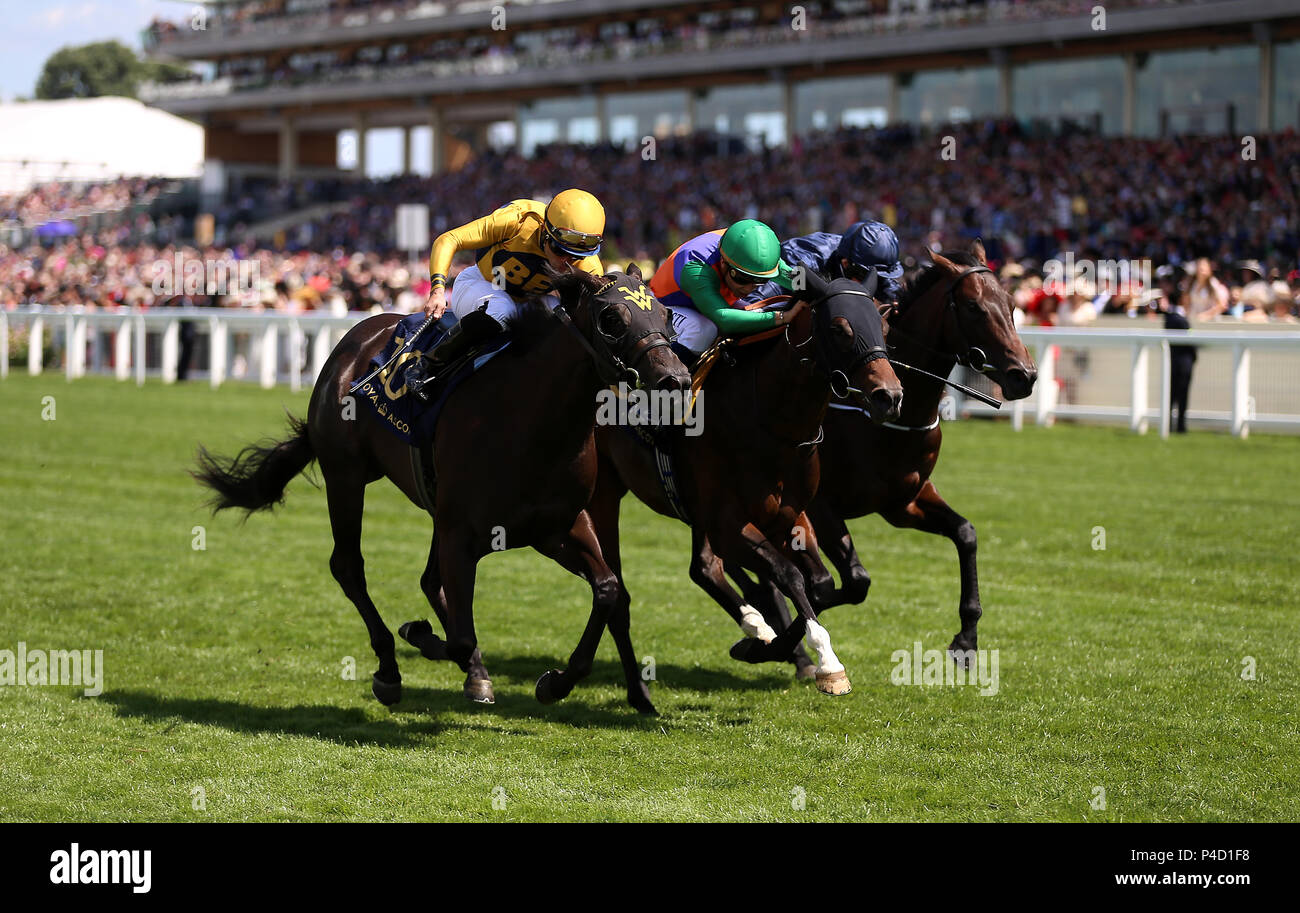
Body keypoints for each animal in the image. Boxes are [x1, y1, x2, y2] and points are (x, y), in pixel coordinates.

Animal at [192, 265, 691, 717]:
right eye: (611, 318)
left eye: (666, 314)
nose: (677, 380)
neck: (531, 419)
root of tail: (356, 338)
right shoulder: (464, 533)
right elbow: (461, 637)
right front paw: (420, 636)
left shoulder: (556, 526)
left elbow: (607, 590)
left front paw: (554, 683)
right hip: (346, 474)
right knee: (349, 567)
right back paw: (390, 670)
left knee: (428, 580)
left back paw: (472, 674)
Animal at [569, 275, 904, 697]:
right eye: (840, 328)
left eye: (886, 329)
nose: (889, 396)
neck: (772, 424)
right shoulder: (728, 523)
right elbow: (789, 575)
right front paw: (825, 662)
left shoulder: (791, 516)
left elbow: (823, 584)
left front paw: (764, 646)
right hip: (606, 494)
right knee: (621, 585)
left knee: (703, 568)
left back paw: (754, 625)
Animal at [748, 241, 1029, 671]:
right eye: (974, 307)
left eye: (1012, 304)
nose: (1025, 375)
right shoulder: (820, 506)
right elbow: (848, 583)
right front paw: (773, 644)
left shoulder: (903, 502)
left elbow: (966, 534)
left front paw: (966, 639)